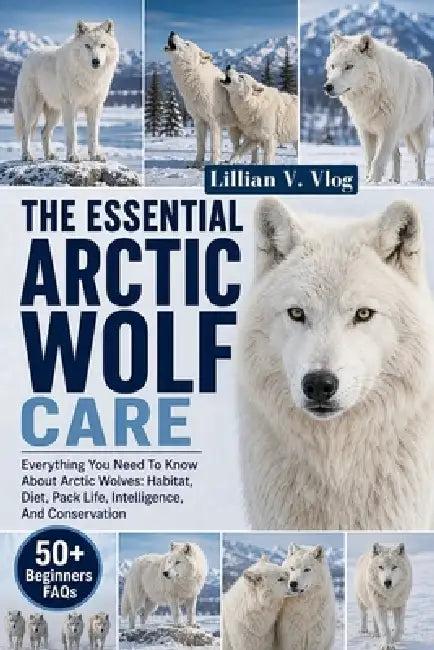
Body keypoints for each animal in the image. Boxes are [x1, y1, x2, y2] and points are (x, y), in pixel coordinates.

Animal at [14, 20, 119, 163]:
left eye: (103, 45)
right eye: (87, 46)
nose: (96, 61)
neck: (89, 77)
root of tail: (26, 59)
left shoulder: (95, 107)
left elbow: (93, 135)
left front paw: (95, 156)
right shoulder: (70, 106)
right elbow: (72, 134)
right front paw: (72, 156)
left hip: (55, 113)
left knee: (44, 132)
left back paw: (49, 155)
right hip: (34, 110)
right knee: (26, 132)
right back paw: (27, 156)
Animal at [325, 33, 433, 183]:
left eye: (349, 66)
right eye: (333, 66)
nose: (327, 87)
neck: (372, 94)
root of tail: (424, 66)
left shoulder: (388, 131)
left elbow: (378, 160)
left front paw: (372, 181)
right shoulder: (365, 131)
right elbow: (370, 160)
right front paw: (368, 180)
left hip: (419, 133)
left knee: (420, 158)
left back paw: (420, 180)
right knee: (397, 155)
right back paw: (395, 180)